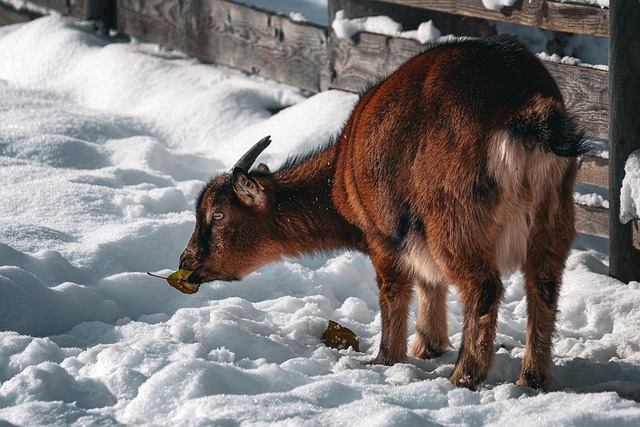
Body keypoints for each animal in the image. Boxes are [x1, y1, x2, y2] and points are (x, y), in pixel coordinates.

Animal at [178, 36, 588, 392]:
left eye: (217, 215)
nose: (186, 262)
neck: (340, 173)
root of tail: (522, 108)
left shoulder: (384, 237)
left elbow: (394, 290)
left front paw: (385, 360)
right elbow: (430, 282)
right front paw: (428, 346)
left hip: (456, 219)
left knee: (483, 288)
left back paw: (464, 376)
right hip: (553, 217)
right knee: (544, 284)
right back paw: (532, 378)